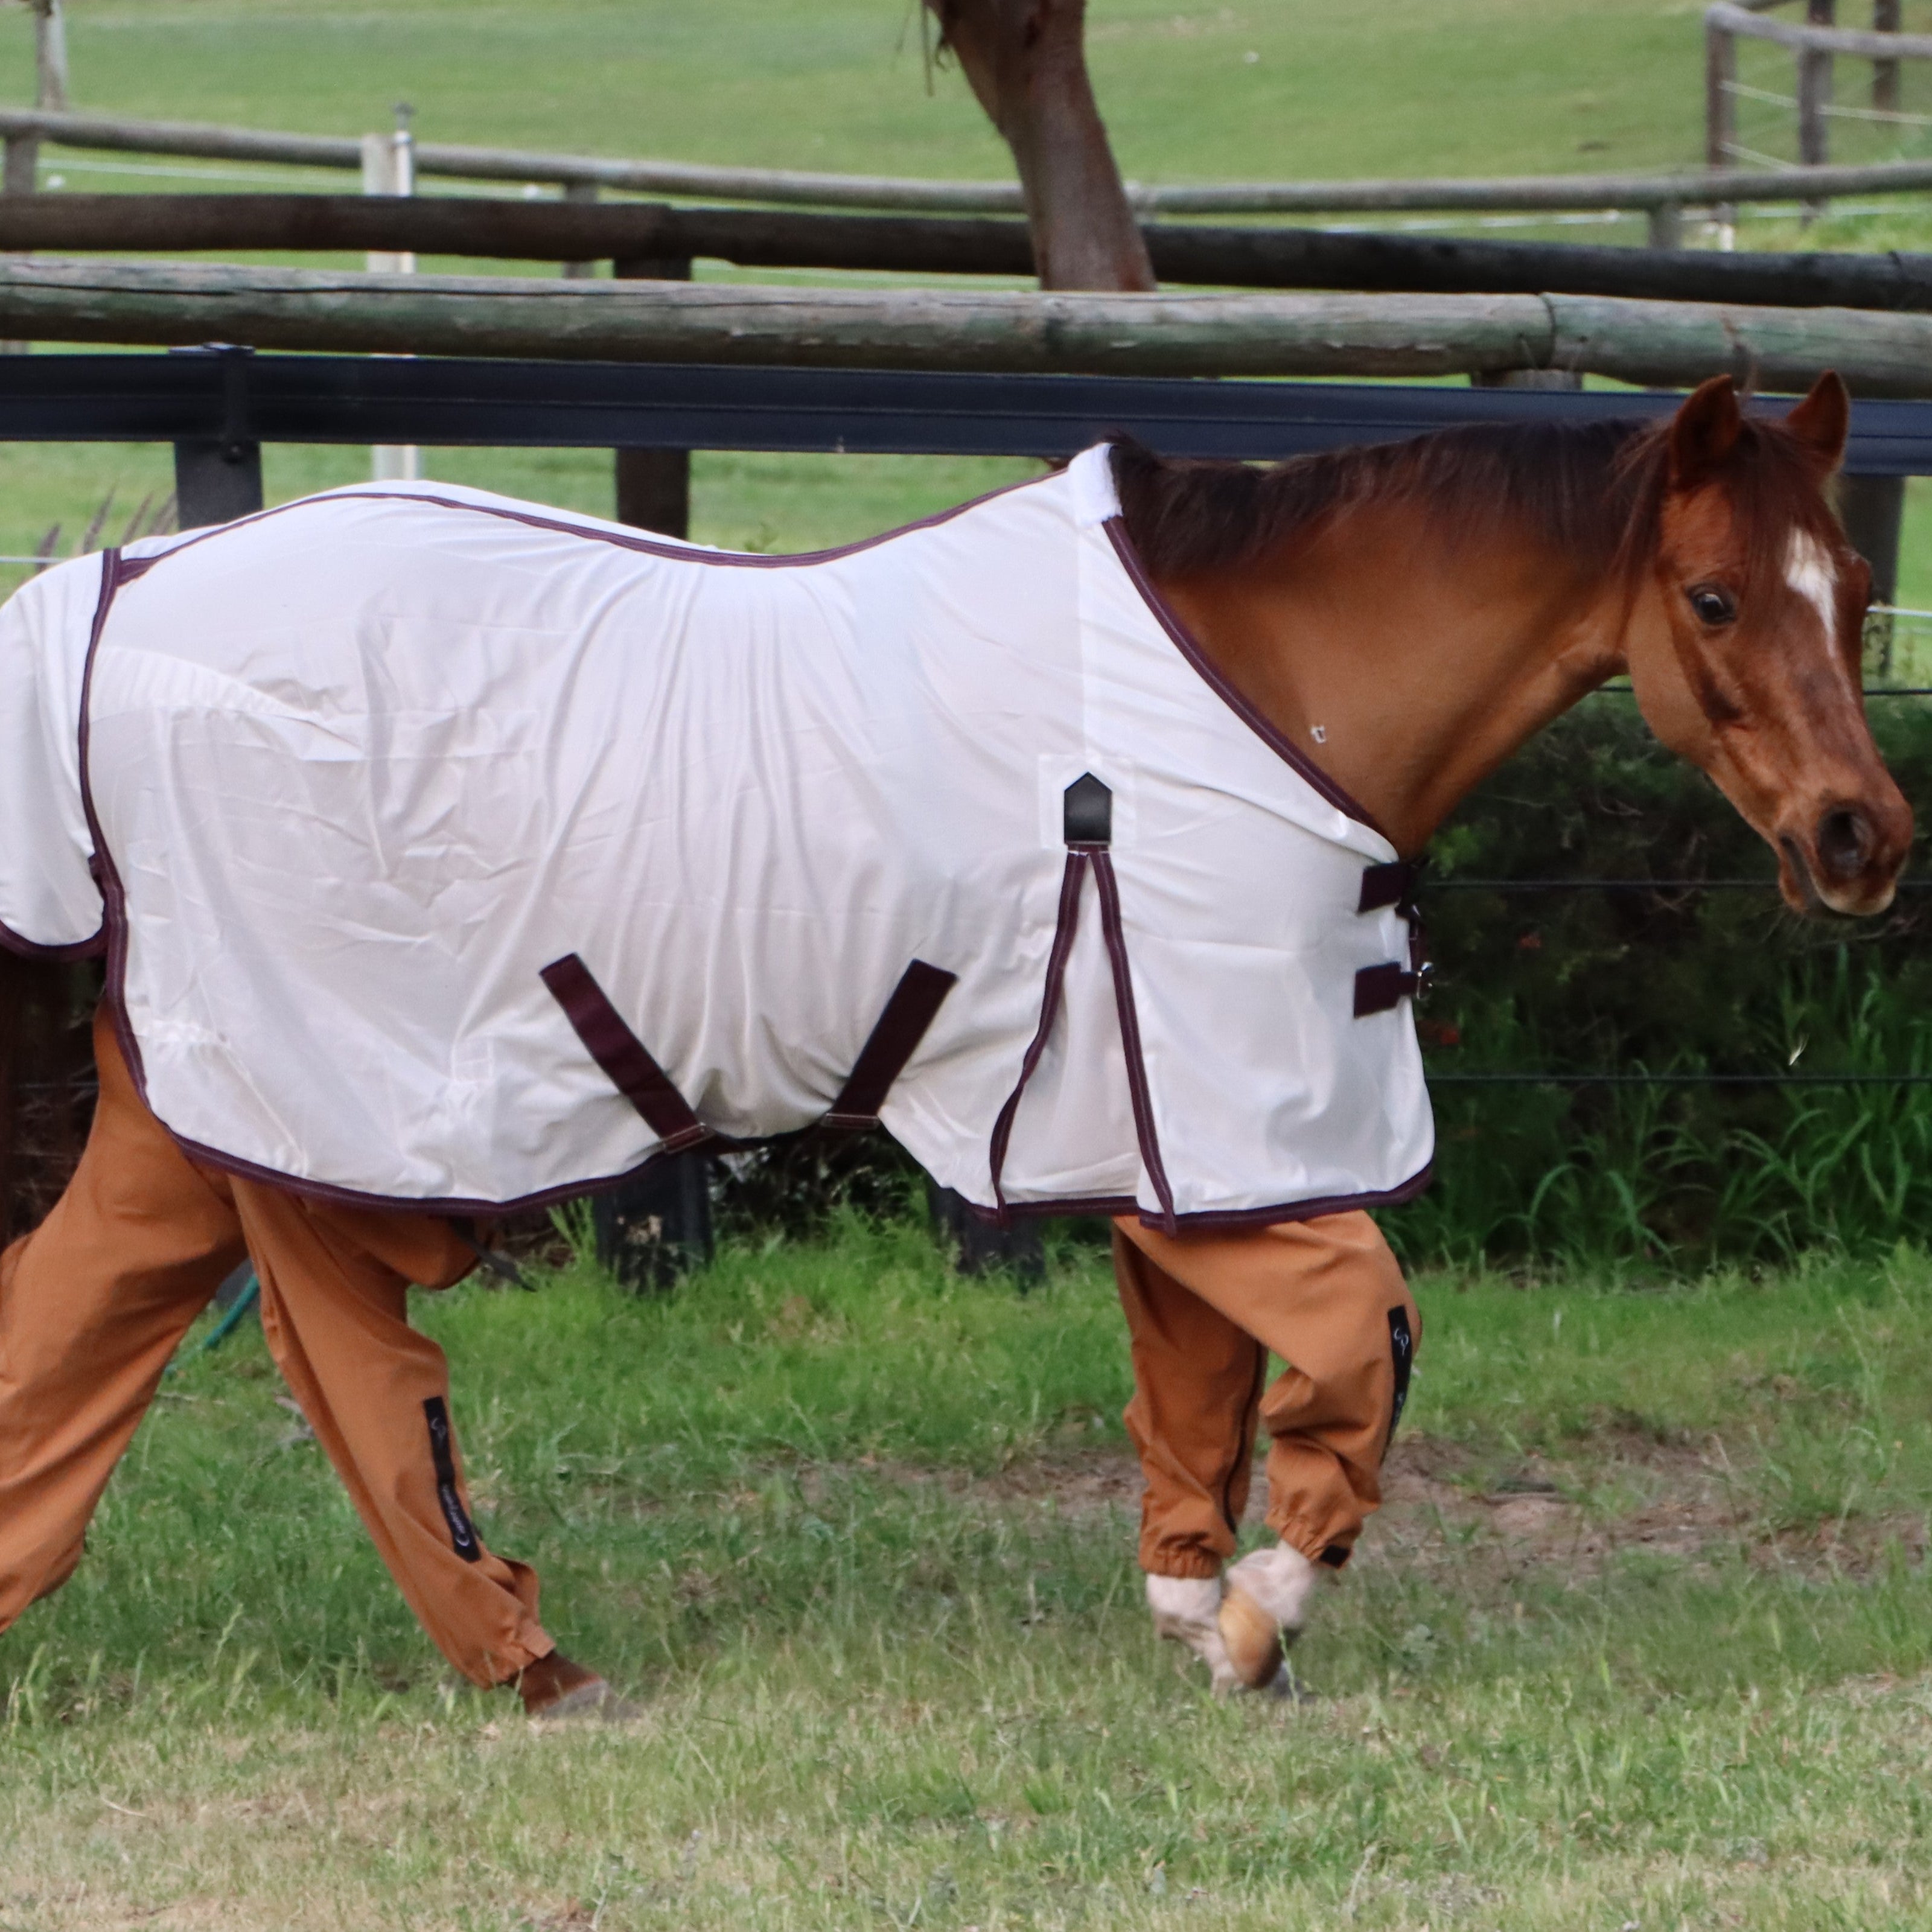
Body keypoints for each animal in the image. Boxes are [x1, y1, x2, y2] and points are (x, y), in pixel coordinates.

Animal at [0, 371, 1909, 1707]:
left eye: (1854, 584)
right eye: (1716, 598)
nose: (1860, 839)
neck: (1251, 684)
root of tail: (123, 590)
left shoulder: (1166, 1133)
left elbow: (1201, 1383)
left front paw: (1195, 1610)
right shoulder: (1222, 1101)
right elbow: (1364, 1339)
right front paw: (1261, 1617)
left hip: (202, 1113)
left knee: (95, 1314)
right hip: (333, 1103)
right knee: (355, 1369)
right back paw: (527, 1658)